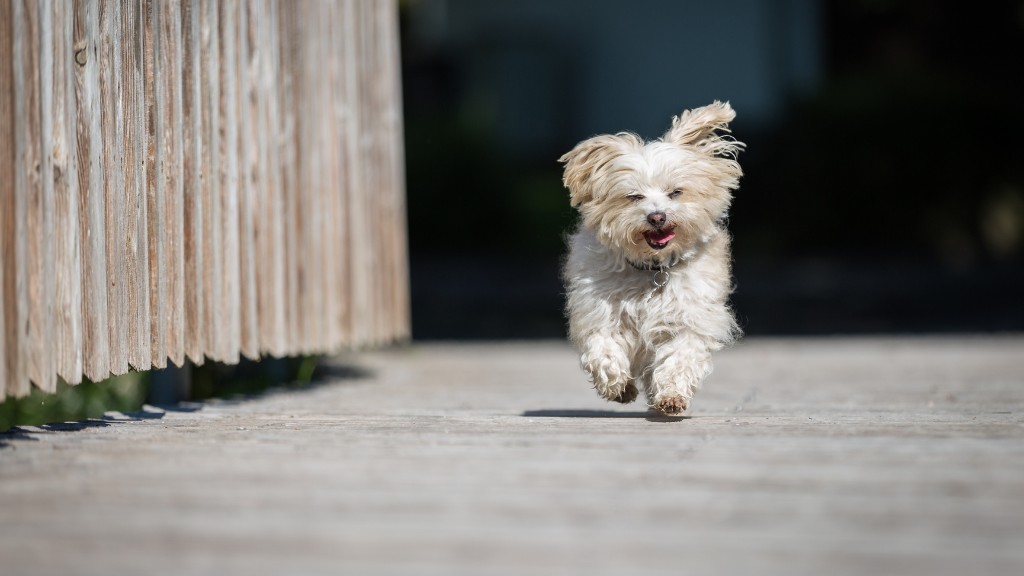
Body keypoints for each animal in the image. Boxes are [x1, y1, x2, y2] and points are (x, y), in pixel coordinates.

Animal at [561, 100, 745, 414]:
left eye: (676, 192)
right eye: (634, 196)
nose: (657, 216)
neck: (653, 269)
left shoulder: (690, 318)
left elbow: (680, 356)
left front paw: (672, 395)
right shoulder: (600, 311)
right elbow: (604, 347)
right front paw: (616, 384)